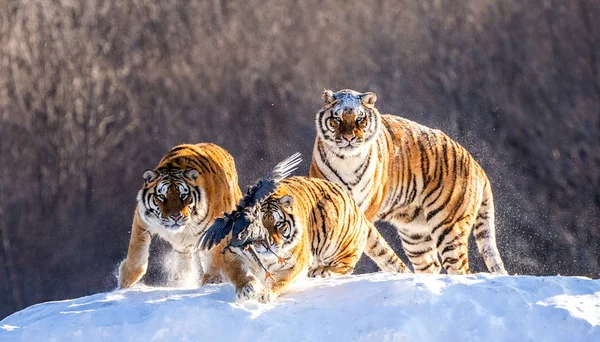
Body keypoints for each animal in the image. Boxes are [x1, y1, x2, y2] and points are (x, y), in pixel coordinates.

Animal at [117, 142, 248, 288]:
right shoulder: (142, 220)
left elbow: (213, 255)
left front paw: (212, 280)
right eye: (162, 197)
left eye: (184, 195)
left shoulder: (215, 229)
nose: (175, 216)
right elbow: (137, 251)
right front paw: (125, 281)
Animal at [310, 89, 506, 276]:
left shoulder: (361, 212)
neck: (346, 160)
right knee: (431, 265)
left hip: (449, 227)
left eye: (360, 119)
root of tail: (476, 165)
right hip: (415, 235)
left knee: (460, 268)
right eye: (337, 119)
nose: (349, 138)